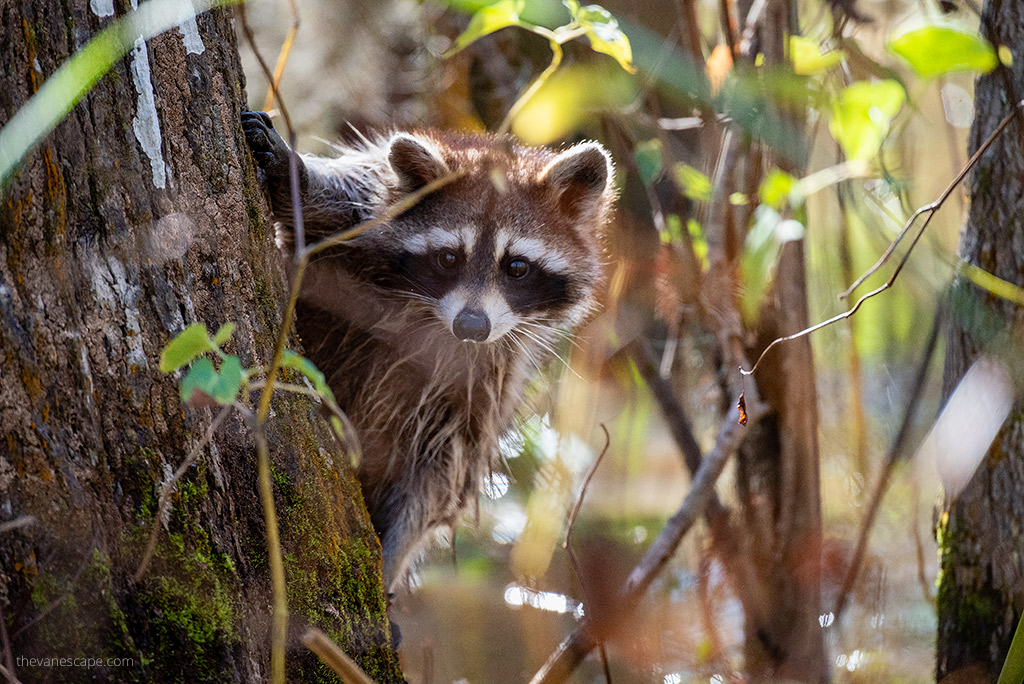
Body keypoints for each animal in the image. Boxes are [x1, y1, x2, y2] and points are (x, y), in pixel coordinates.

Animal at [240, 111, 614, 589]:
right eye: (449, 258)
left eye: (517, 267)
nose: (471, 326)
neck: (430, 316)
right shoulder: (367, 208)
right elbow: (327, 208)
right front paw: (297, 177)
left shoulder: (484, 377)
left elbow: (443, 470)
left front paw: (397, 545)